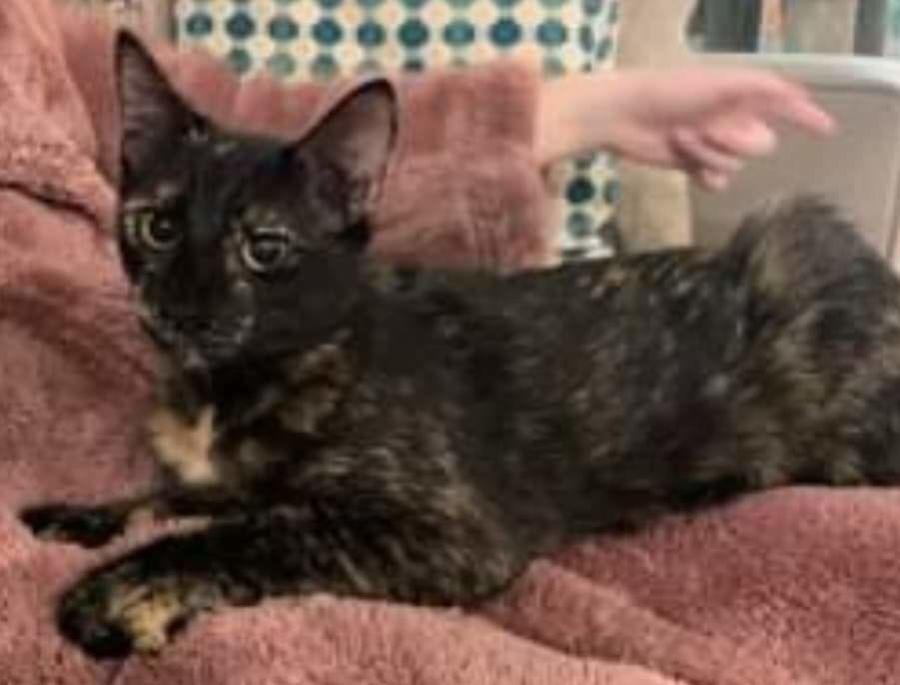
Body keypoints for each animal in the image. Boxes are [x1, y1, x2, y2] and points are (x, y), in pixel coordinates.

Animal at [21, 31, 900, 660]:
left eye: (264, 248)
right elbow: (172, 498)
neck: (229, 385)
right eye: (158, 226)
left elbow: (256, 531)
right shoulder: (227, 478)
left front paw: (115, 591)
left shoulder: (450, 531)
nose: (181, 305)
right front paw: (79, 514)